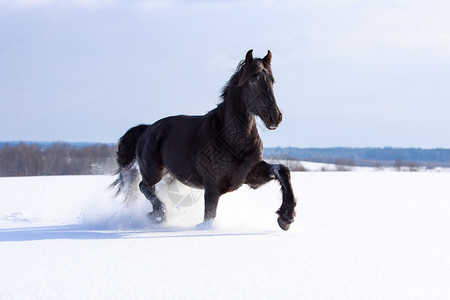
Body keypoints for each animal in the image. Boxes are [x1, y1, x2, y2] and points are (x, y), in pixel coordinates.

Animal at [111, 49, 298, 230]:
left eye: (272, 81)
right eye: (253, 81)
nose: (275, 117)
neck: (232, 140)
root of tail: (147, 129)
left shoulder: (251, 175)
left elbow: (282, 170)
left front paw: (286, 217)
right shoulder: (212, 186)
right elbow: (209, 215)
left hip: (170, 176)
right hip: (153, 171)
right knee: (144, 186)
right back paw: (159, 215)